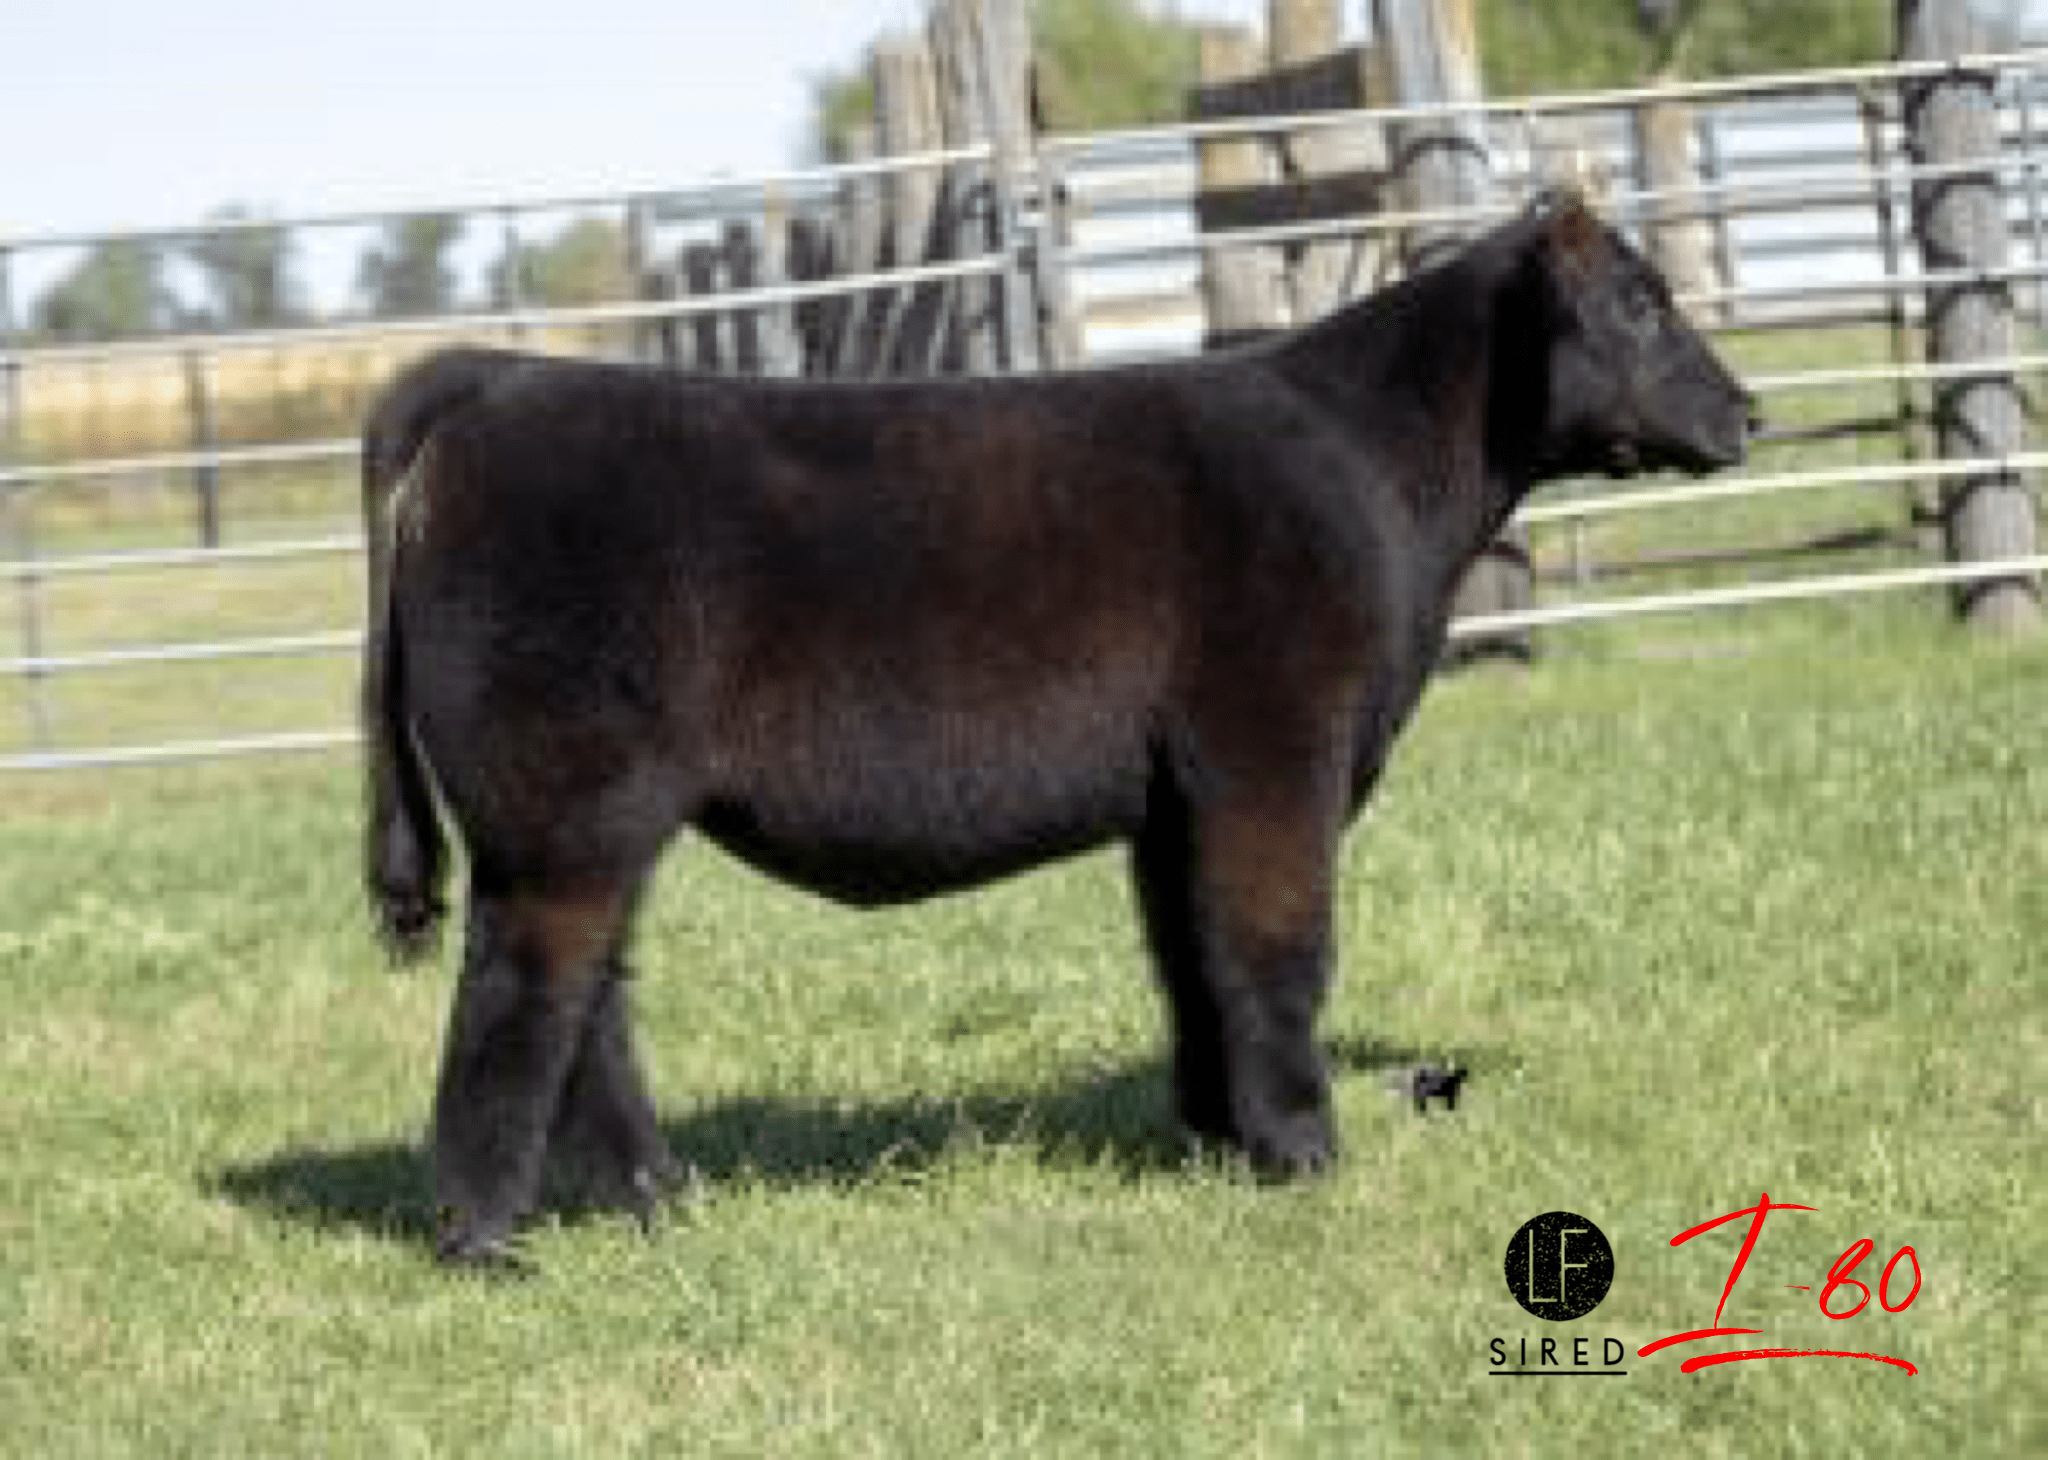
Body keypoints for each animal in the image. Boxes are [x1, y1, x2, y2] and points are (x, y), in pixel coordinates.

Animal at [360, 193, 1754, 1265]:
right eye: (1638, 302)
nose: (1748, 414)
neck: (1373, 471)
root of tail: (491, 383)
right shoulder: (1271, 754)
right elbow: (1275, 950)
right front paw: (1304, 1151)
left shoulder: (1175, 795)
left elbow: (1191, 957)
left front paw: (1216, 1137)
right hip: (566, 808)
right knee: (520, 993)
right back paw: (485, 1237)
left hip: (583, 823)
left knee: (588, 999)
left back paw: (660, 1199)